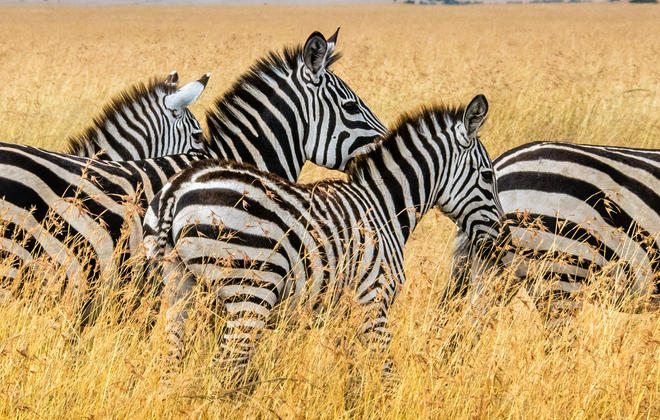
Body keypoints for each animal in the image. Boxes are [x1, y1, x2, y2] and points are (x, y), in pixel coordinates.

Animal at [144, 94, 502, 380]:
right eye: (488, 175)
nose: (500, 237)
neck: (384, 206)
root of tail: (179, 189)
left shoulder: (343, 310)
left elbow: (353, 370)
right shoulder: (373, 298)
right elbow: (385, 370)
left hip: (179, 286)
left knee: (171, 361)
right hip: (250, 293)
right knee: (226, 367)